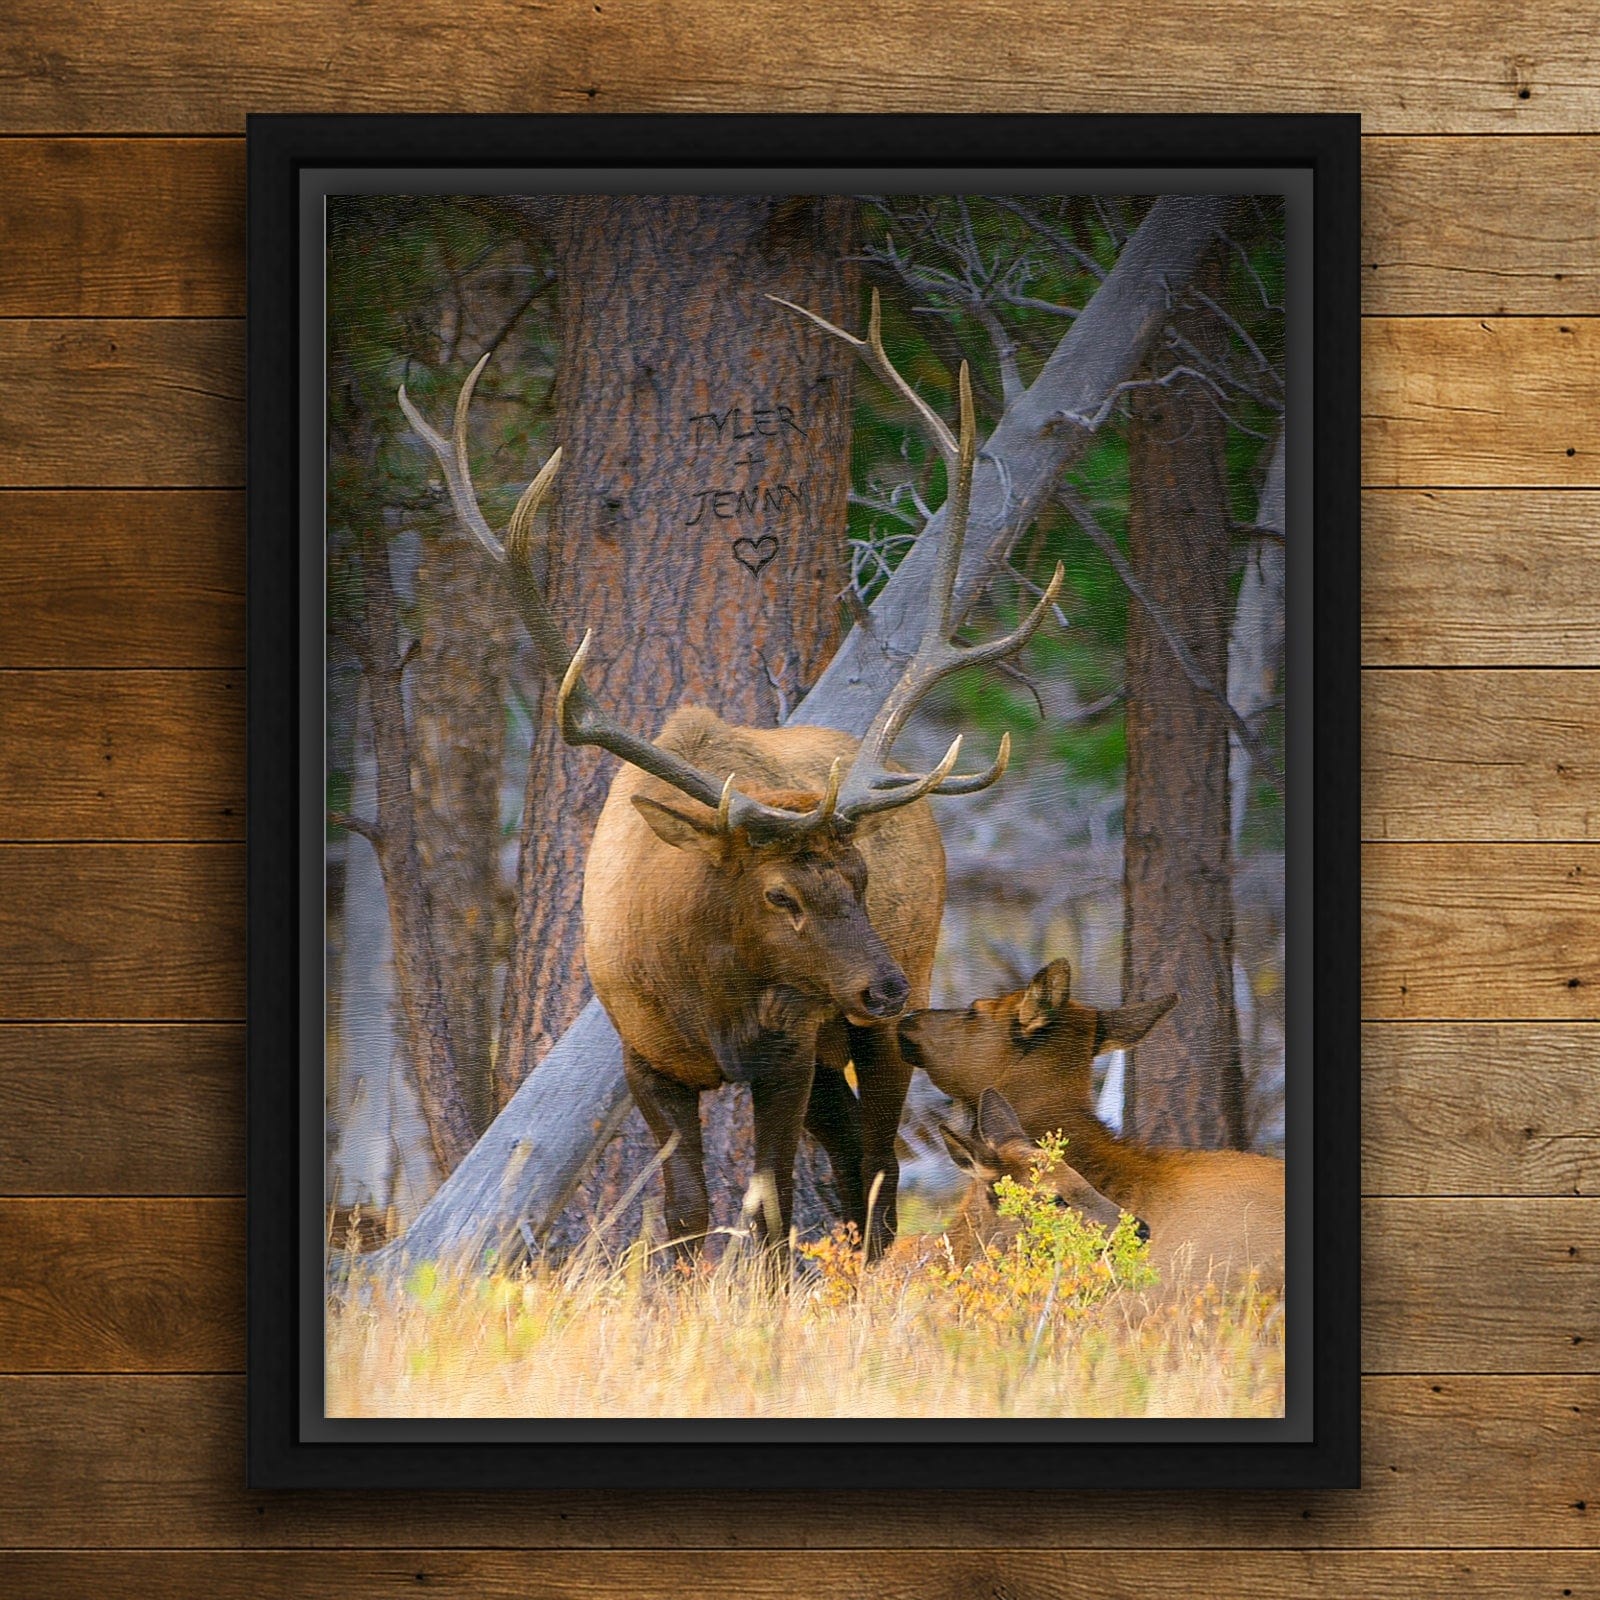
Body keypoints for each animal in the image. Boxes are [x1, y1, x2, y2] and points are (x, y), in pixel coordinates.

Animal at [399, 291, 1064, 1261]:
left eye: (860, 880)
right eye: (780, 895)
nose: (885, 987)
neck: (701, 979)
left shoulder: (784, 1053)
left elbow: (769, 1207)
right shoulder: (647, 1060)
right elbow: (684, 1216)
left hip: (878, 1022)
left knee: (878, 1164)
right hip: (833, 1039)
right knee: (852, 1155)